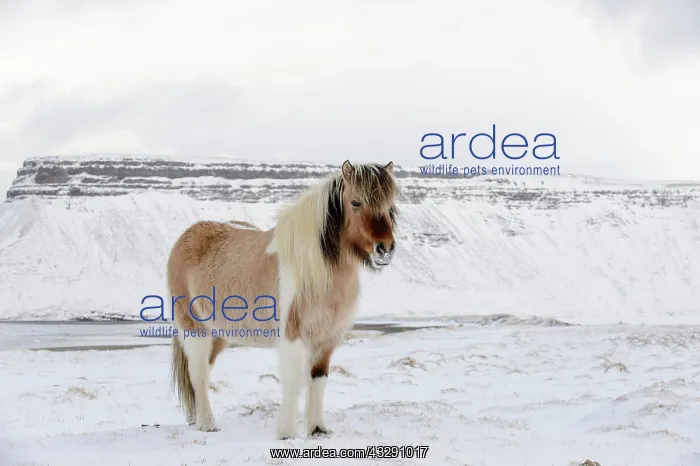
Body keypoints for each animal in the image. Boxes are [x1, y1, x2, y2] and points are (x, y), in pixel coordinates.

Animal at [167, 160, 399, 439]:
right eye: (356, 202)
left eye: (390, 206)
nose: (384, 249)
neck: (315, 270)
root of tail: (186, 238)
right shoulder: (293, 335)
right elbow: (293, 381)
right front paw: (287, 432)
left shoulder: (326, 340)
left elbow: (318, 379)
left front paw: (318, 429)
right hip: (195, 329)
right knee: (198, 373)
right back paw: (208, 424)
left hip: (219, 333)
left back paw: (197, 420)